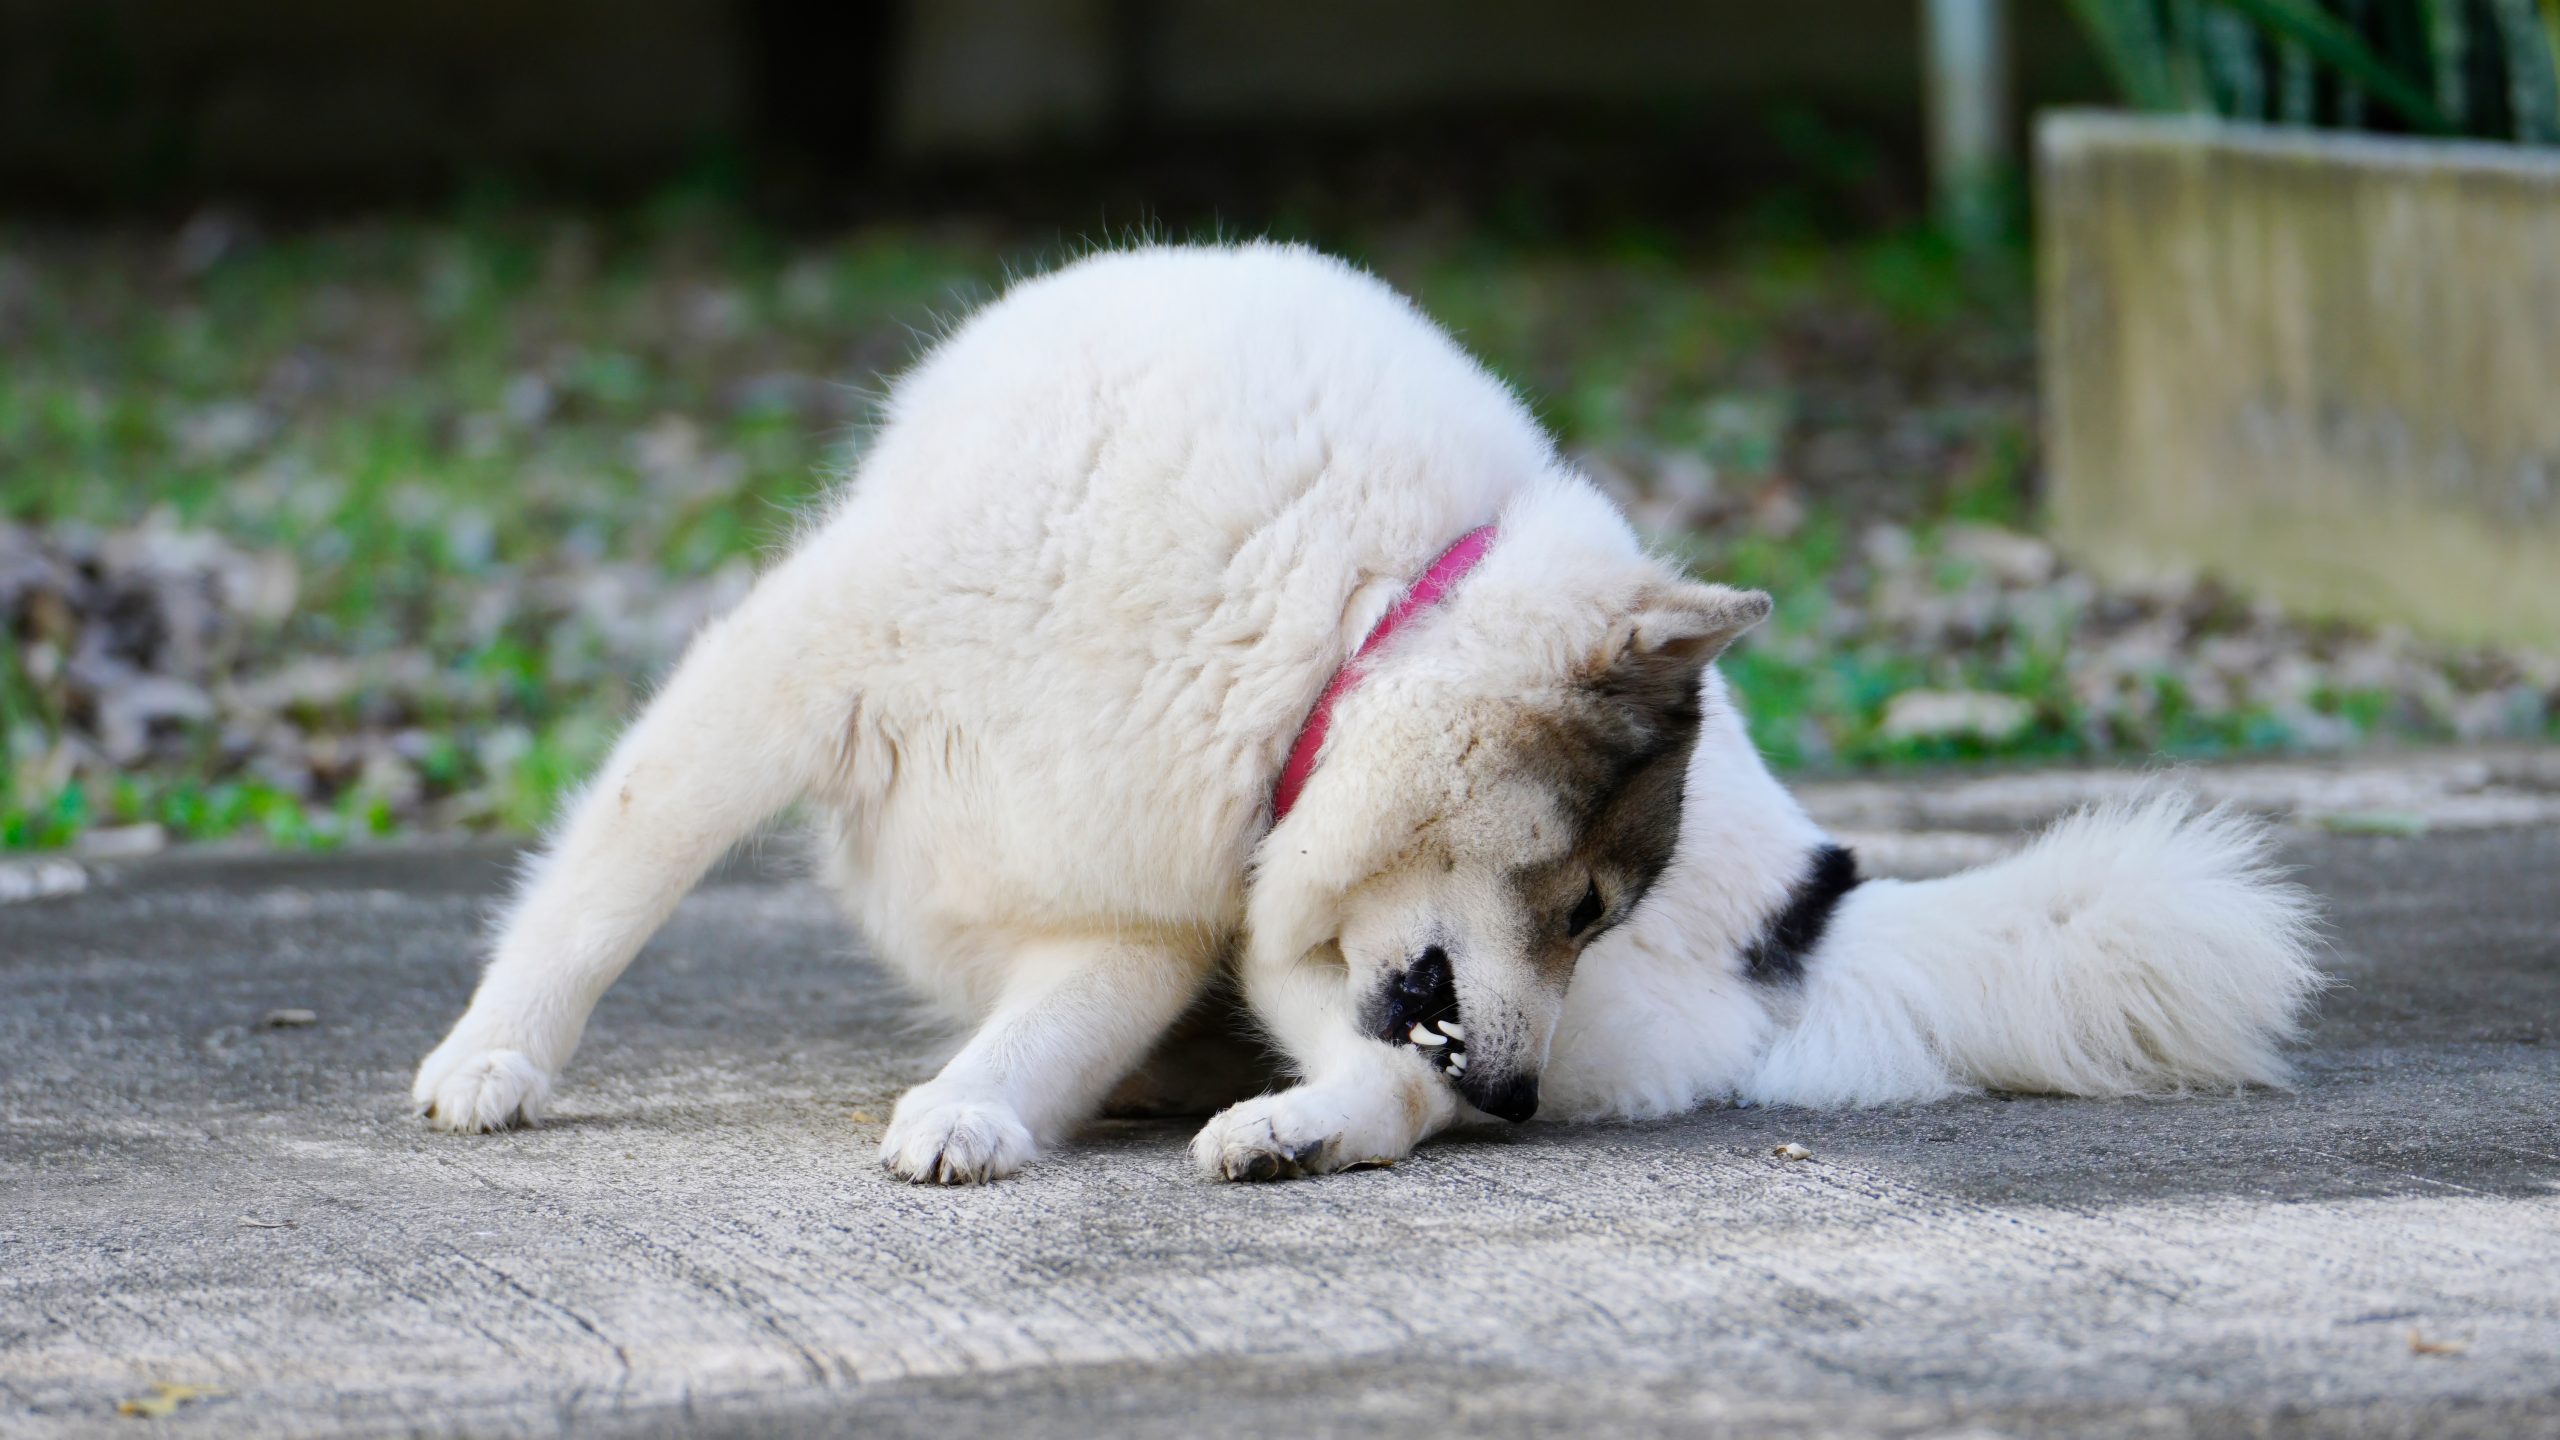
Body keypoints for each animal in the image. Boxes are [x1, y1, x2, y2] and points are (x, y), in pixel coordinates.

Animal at [414, 243, 2324, 1178]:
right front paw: (498, 1055)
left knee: (1392, 1100)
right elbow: (606, 888)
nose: (1527, 1105)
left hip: (1312, 956)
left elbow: (1043, 1034)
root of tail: (1819, 900)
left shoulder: (1150, 922)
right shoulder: (796, 679)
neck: (1322, 622)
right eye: (1578, 902)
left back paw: (1282, 1132)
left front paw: (978, 1111)